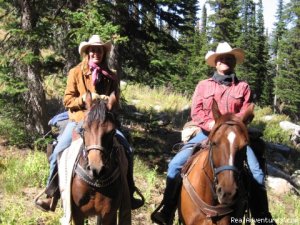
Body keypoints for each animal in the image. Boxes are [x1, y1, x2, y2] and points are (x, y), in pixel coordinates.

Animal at [71, 92, 132, 225]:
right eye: (84, 128)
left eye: (112, 131)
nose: (96, 169)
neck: (94, 185)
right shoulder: (77, 214)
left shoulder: (108, 214)